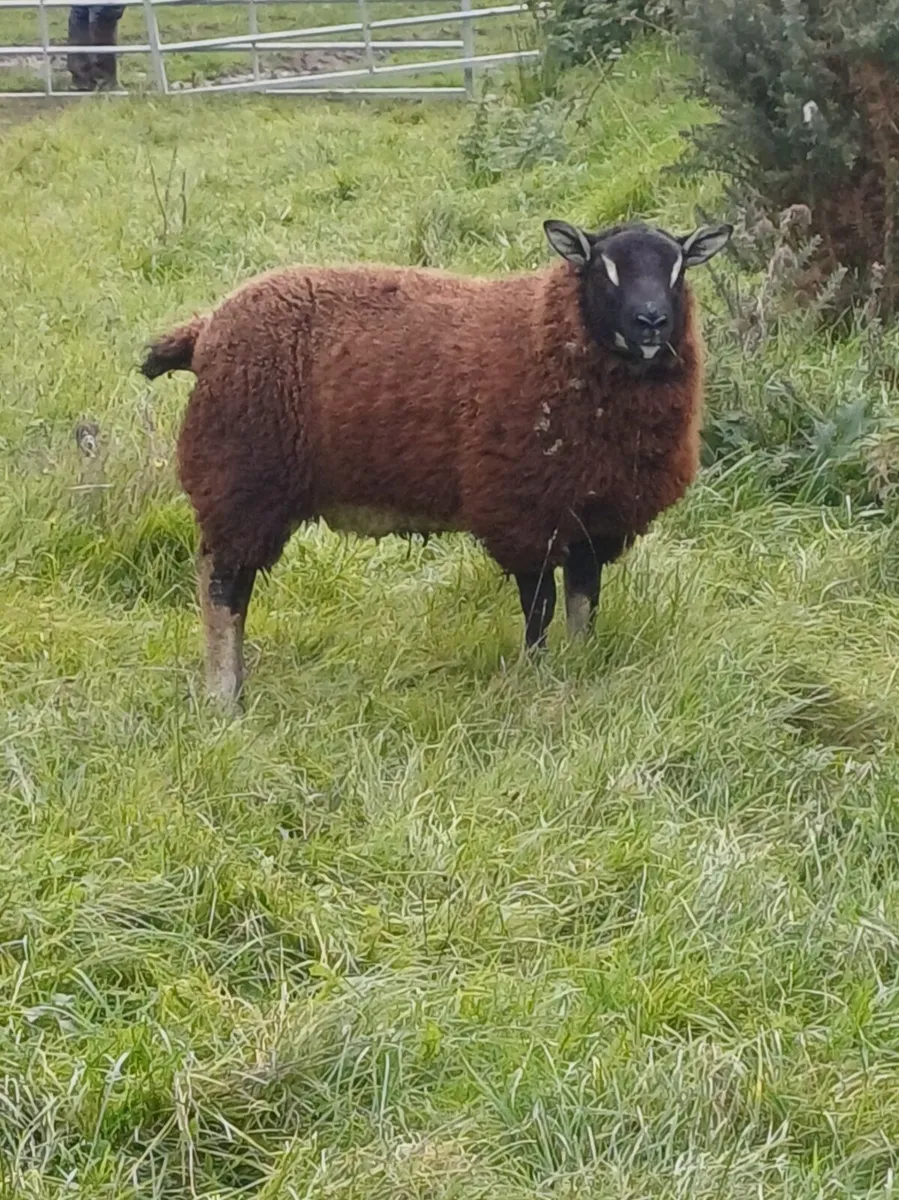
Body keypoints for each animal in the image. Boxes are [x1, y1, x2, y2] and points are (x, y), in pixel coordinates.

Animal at [141, 217, 732, 707]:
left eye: (678, 267)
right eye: (602, 268)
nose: (651, 322)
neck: (551, 332)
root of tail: (205, 327)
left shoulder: (596, 516)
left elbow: (584, 603)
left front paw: (581, 665)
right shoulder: (523, 510)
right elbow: (538, 608)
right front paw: (537, 676)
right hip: (240, 480)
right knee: (223, 588)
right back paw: (225, 696)